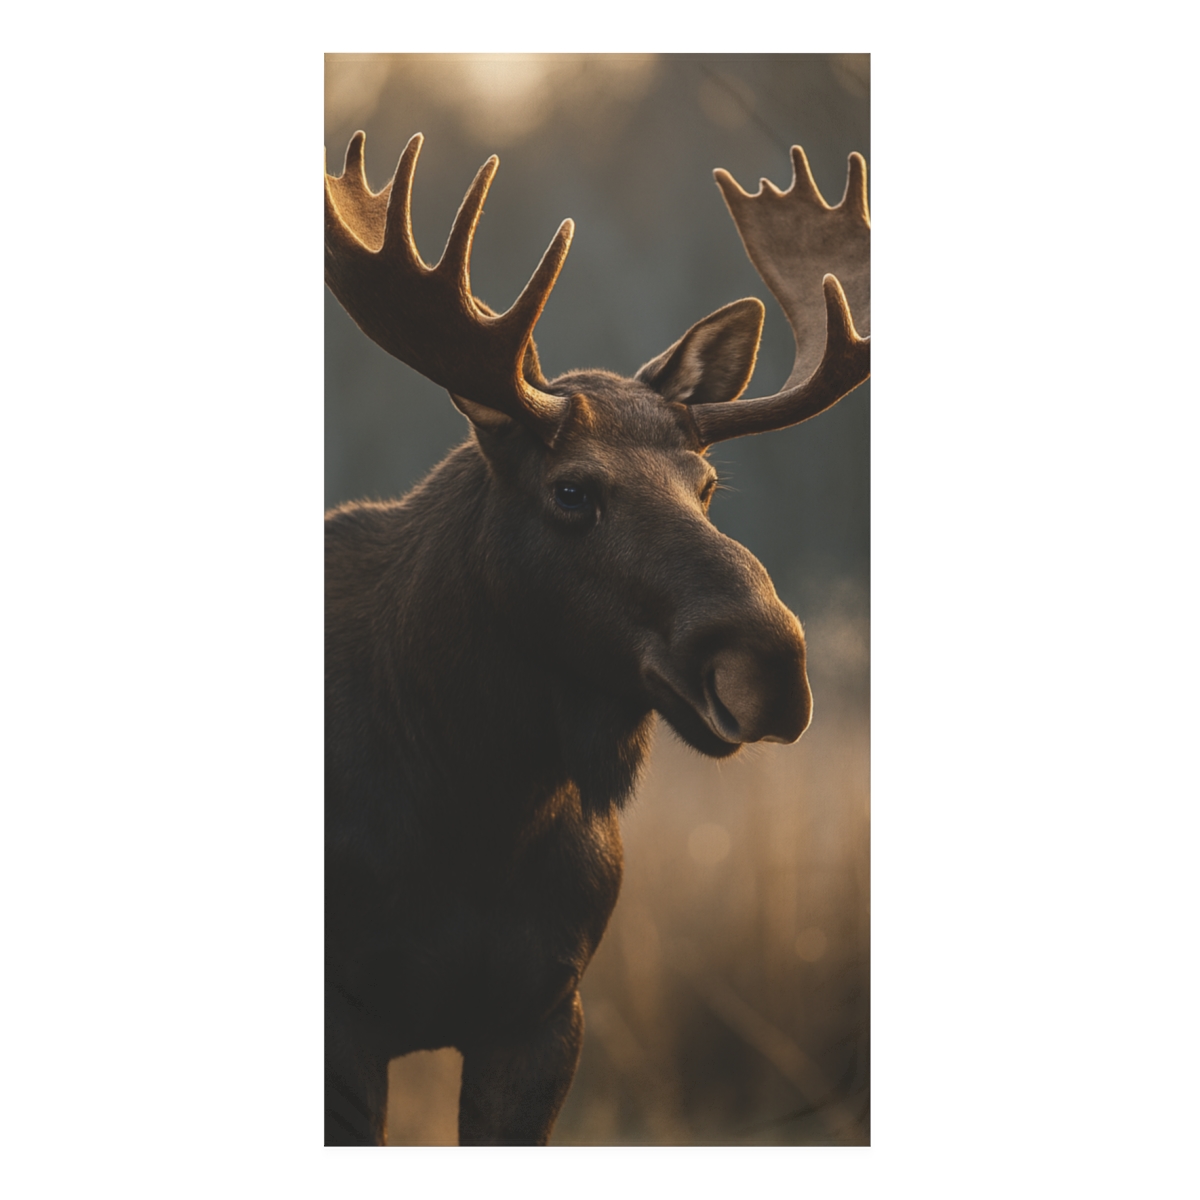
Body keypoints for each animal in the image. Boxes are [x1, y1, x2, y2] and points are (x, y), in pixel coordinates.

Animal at [324, 129, 870, 1146]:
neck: (476, 814)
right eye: (572, 489)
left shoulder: (544, 1012)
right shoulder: (345, 1017)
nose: (771, 665)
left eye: (706, 486)